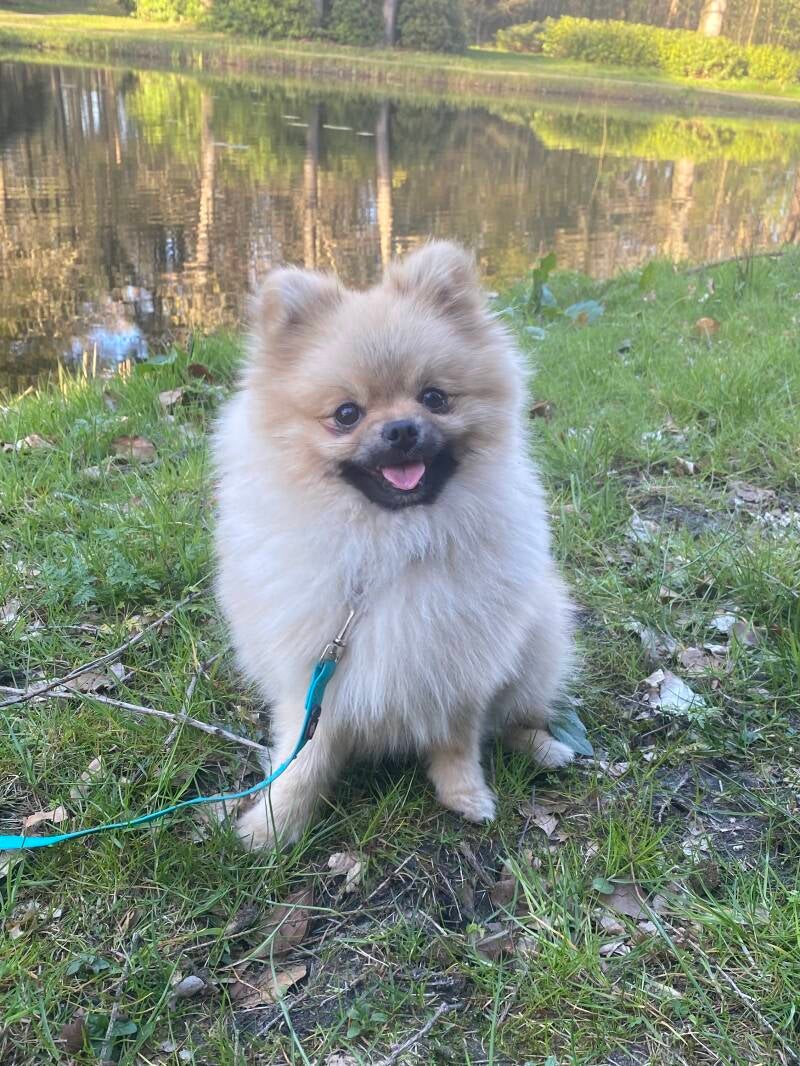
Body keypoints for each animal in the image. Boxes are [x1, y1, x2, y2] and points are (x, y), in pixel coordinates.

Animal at [213, 240, 575, 849]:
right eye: (346, 414)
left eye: (435, 398)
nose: (402, 429)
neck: (389, 542)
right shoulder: (315, 677)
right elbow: (304, 756)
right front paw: (276, 823)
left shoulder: (458, 661)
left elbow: (459, 738)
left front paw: (465, 794)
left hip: (538, 637)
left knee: (512, 716)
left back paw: (544, 746)